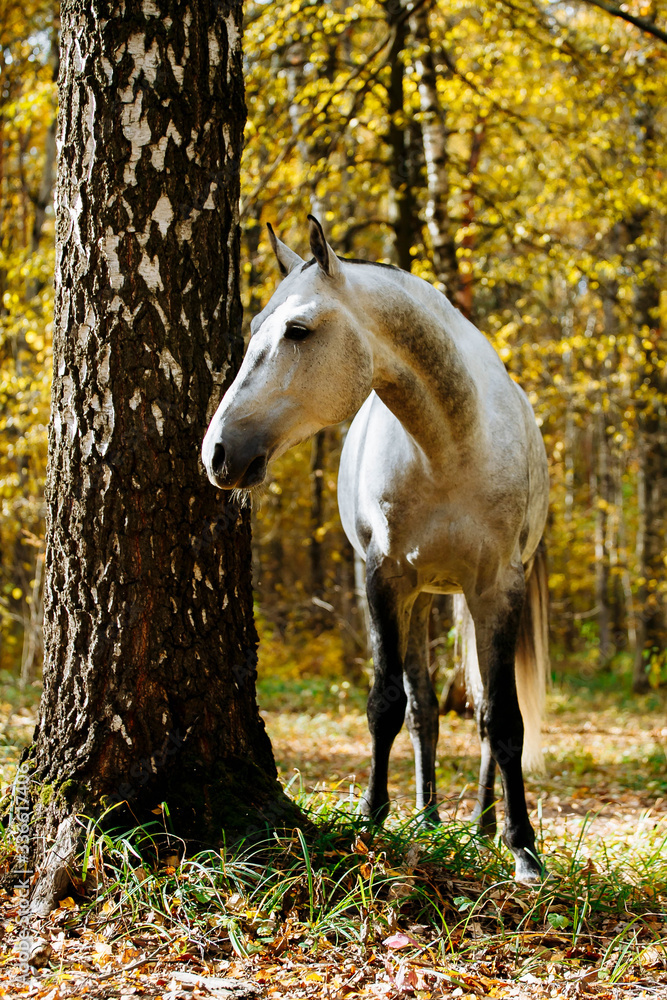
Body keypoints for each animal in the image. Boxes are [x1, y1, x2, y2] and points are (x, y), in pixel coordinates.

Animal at [202, 216, 550, 882]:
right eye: (254, 328)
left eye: (298, 330)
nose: (217, 453)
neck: (450, 444)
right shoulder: (386, 580)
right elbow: (387, 704)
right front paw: (372, 819)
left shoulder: (499, 588)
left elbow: (503, 717)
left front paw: (524, 848)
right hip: (422, 599)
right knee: (425, 709)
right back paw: (430, 819)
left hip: (464, 599)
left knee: (480, 716)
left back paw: (483, 826)